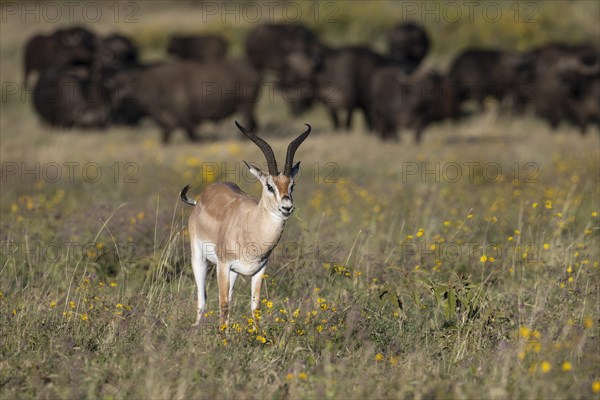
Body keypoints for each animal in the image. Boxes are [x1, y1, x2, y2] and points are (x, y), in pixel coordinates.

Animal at [111, 61, 262, 144]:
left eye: (126, 99)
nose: (117, 103)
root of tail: (253, 71)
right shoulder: (168, 121)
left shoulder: (185, 118)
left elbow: (191, 133)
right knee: (253, 123)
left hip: (245, 106)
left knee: (248, 121)